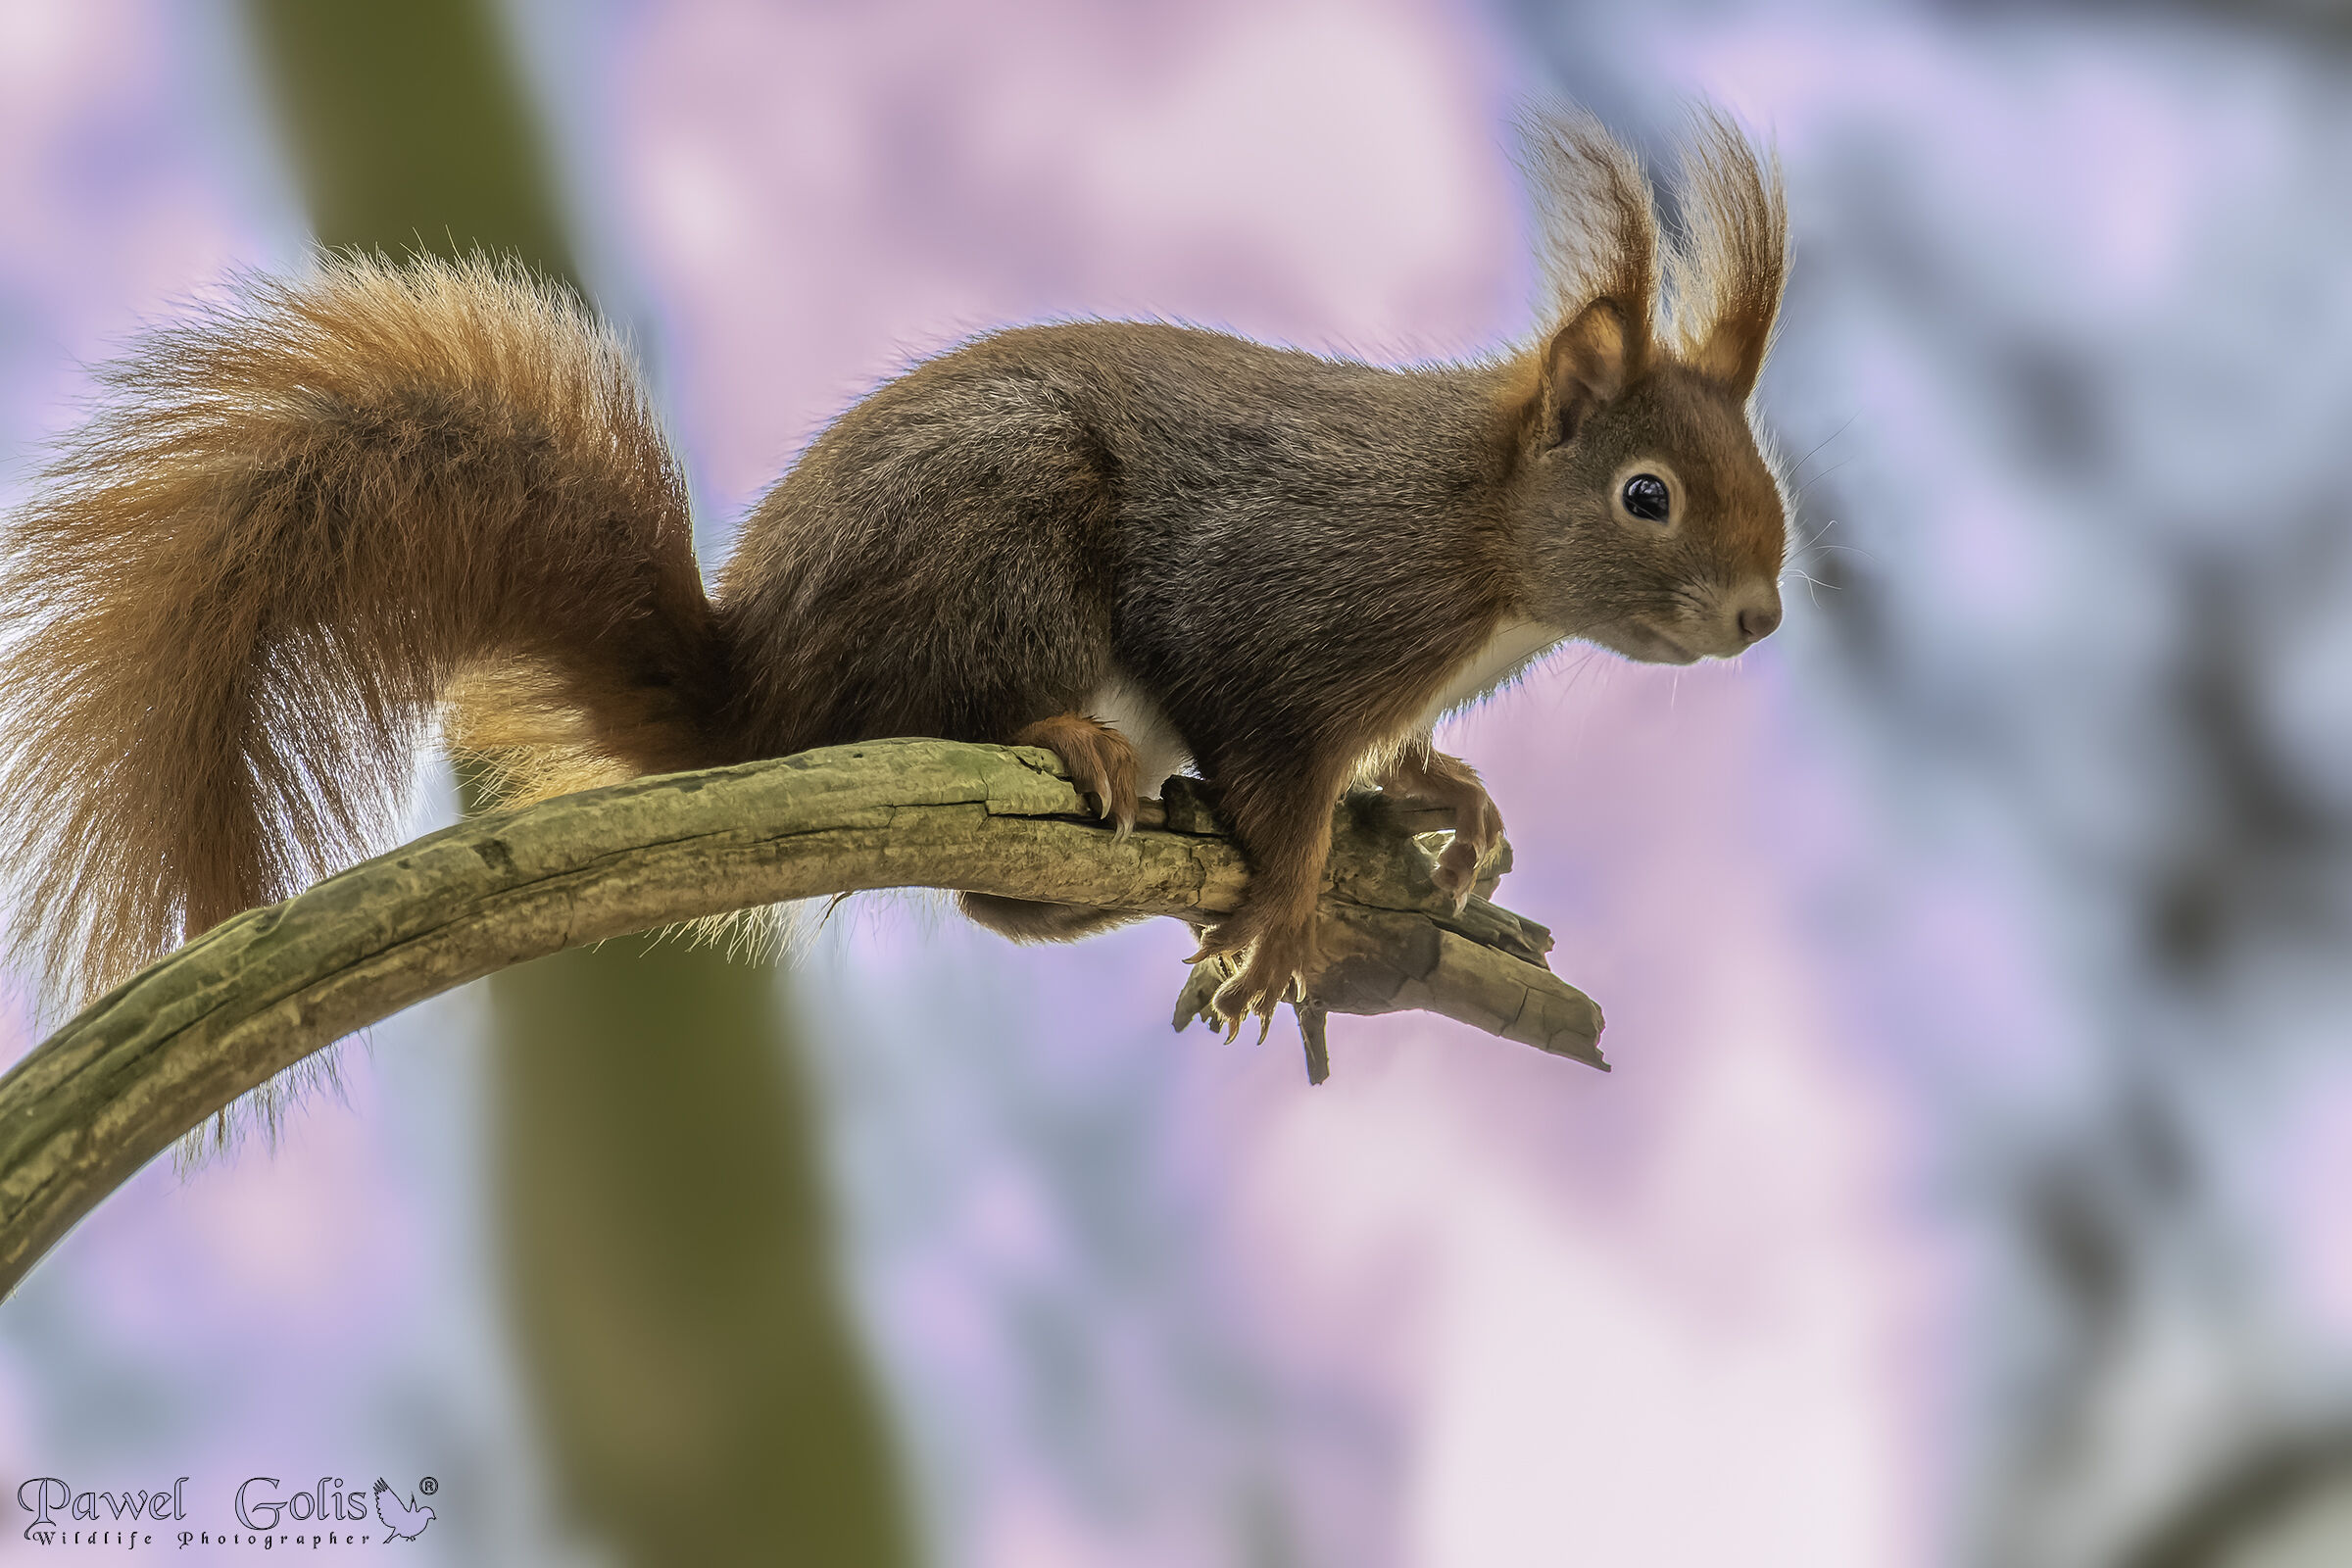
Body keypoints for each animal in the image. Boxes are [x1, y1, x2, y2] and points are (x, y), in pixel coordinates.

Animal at [0, 109, 1788, 1030]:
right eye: (1646, 496)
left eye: (1759, 480)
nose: (1764, 613)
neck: (1482, 553)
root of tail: (757, 698)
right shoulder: (1283, 600)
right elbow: (1272, 758)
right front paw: (1287, 908)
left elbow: (1388, 762)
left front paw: (1451, 802)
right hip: (1001, 541)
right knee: (950, 727)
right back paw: (1064, 744)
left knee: (997, 900)